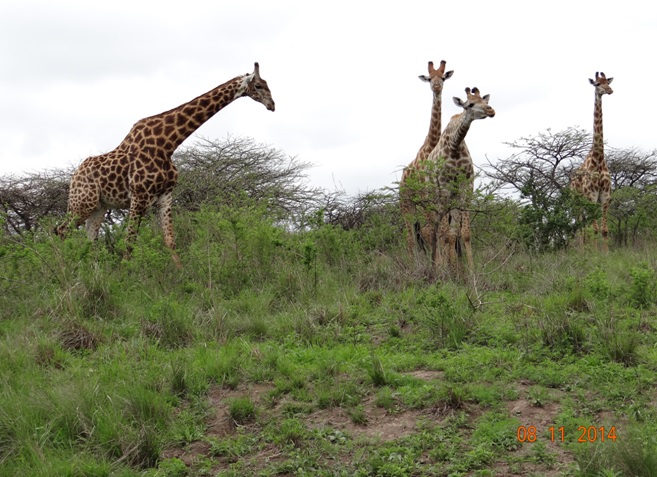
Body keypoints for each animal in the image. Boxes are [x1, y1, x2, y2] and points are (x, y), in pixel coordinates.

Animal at [53, 61, 274, 266]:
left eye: (267, 84)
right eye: (259, 86)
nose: (272, 105)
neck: (167, 145)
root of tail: (74, 176)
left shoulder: (166, 195)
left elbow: (170, 241)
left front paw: (183, 275)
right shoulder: (139, 196)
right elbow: (130, 241)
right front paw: (125, 274)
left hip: (100, 206)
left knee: (89, 239)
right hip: (83, 201)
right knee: (62, 230)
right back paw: (65, 268)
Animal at [398, 61, 454, 255]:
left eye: (443, 77)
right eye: (430, 78)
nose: (436, 87)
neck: (432, 143)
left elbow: (439, 233)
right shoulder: (426, 196)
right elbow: (433, 233)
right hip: (406, 203)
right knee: (410, 238)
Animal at [426, 87, 492, 278]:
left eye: (485, 101)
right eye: (470, 104)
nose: (491, 110)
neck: (454, 146)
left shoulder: (466, 187)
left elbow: (464, 233)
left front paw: (470, 271)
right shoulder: (444, 189)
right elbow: (444, 233)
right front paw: (445, 272)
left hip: (451, 199)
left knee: (449, 232)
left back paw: (452, 267)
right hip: (433, 196)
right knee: (436, 230)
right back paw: (440, 267)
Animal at [568, 71, 616, 249]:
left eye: (607, 82)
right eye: (597, 84)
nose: (609, 90)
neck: (599, 158)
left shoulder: (605, 198)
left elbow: (604, 230)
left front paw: (606, 253)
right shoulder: (591, 197)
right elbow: (595, 230)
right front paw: (595, 254)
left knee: (583, 227)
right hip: (576, 202)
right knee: (580, 228)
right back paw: (582, 250)